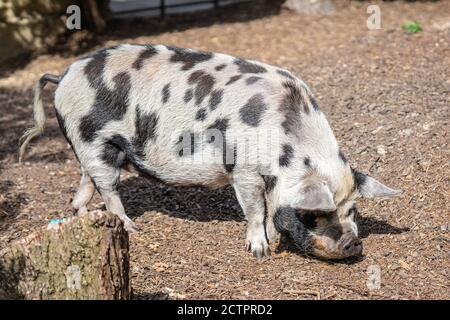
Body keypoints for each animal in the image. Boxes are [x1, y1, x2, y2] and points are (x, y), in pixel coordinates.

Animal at [19, 44, 402, 260]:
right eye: (315, 214)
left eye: (352, 210)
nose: (353, 244)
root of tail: (64, 74)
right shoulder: (243, 169)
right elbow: (255, 209)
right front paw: (260, 251)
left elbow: (269, 208)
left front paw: (273, 238)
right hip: (94, 140)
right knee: (108, 188)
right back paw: (131, 228)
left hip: (91, 148)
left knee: (85, 184)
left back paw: (82, 215)